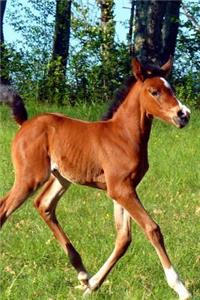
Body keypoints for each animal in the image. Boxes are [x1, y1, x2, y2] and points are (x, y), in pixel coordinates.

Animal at [0, 57, 192, 298]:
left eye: (171, 89)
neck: (124, 135)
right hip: (30, 177)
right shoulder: (120, 189)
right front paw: (180, 288)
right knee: (4, 209)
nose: (183, 114)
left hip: (61, 178)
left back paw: (82, 273)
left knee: (44, 205)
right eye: (154, 91)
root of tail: (24, 123)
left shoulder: (124, 190)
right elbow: (152, 229)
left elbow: (124, 238)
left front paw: (92, 286)